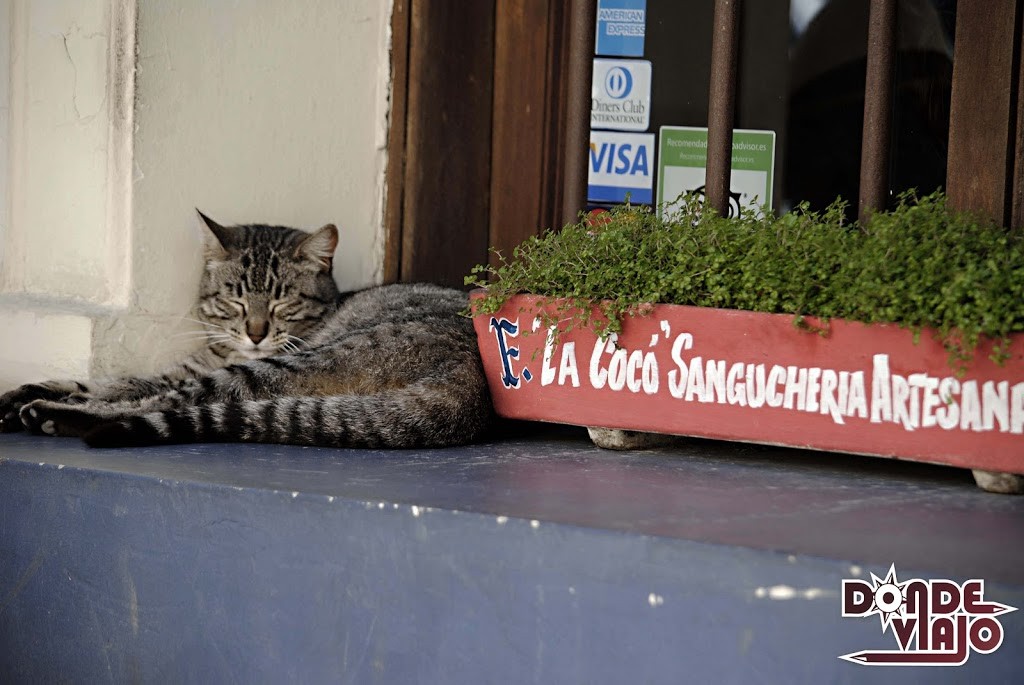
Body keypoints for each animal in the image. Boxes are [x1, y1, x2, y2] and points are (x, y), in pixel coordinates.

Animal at [0, 213, 491, 448]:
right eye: (234, 300)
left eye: (282, 302)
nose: (255, 333)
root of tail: (473, 386)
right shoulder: (181, 367)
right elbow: (109, 381)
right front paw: (23, 391)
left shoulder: (197, 373)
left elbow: (124, 389)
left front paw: (43, 400)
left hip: (298, 363)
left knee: (175, 403)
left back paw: (52, 416)